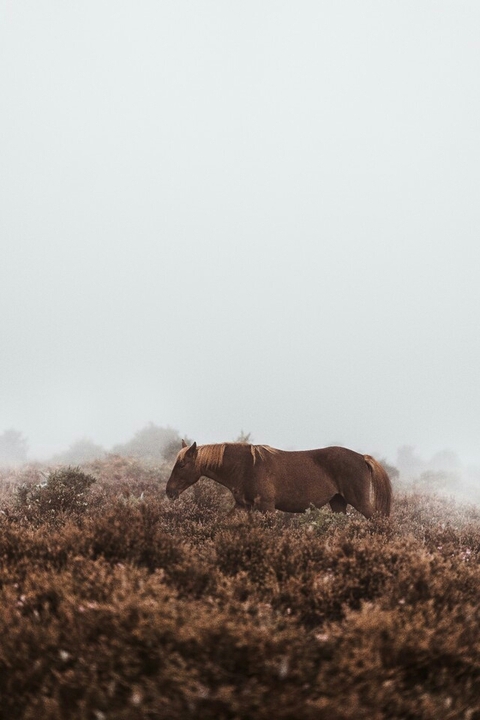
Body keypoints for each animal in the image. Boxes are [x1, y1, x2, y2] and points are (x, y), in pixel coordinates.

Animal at [165, 441, 392, 518]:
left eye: (182, 465)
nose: (169, 491)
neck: (246, 466)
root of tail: (362, 457)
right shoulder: (243, 506)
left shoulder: (267, 507)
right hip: (338, 503)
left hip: (359, 501)